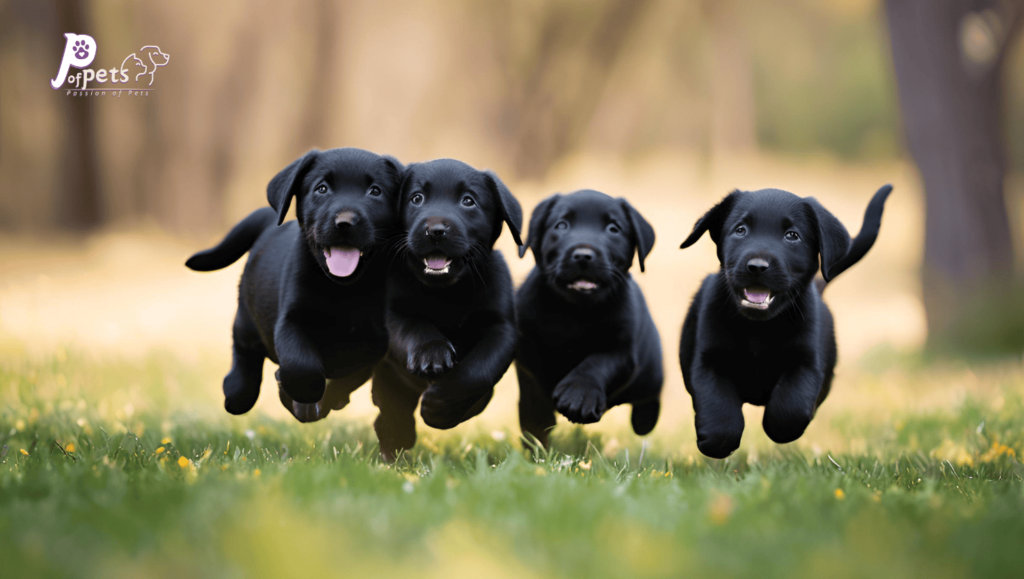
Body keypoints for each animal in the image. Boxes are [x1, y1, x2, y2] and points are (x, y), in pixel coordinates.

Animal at [186, 146, 401, 422]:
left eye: (375, 191)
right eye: (322, 189)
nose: (345, 222)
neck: (343, 289)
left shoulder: (377, 338)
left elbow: (354, 371)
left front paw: (327, 399)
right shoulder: (290, 320)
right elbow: (301, 366)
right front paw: (298, 397)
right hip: (247, 313)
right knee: (244, 348)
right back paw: (237, 390)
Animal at [372, 155, 524, 459]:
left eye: (468, 201)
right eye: (416, 198)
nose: (435, 230)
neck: (447, 292)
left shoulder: (502, 328)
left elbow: (480, 370)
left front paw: (441, 408)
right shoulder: (392, 316)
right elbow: (415, 326)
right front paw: (432, 353)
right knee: (390, 411)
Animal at [512, 189, 663, 446]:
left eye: (613, 229)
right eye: (561, 225)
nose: (583, 255)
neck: (576, 311)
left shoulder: (622, 350)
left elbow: (597, 362)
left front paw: (579, 394)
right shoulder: (525, 347)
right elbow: (535, 401)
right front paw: (538, 436)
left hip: (648, 374)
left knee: (650, 397)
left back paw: (644, 420)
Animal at [675, 184, 892, 457]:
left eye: (792, 236)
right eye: (740, 230)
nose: (757, 266)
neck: (758, 327)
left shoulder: (807, 362)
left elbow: (789, 409)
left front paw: (779, 427)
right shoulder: (707, 361)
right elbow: (719, 414)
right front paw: (715, 442)